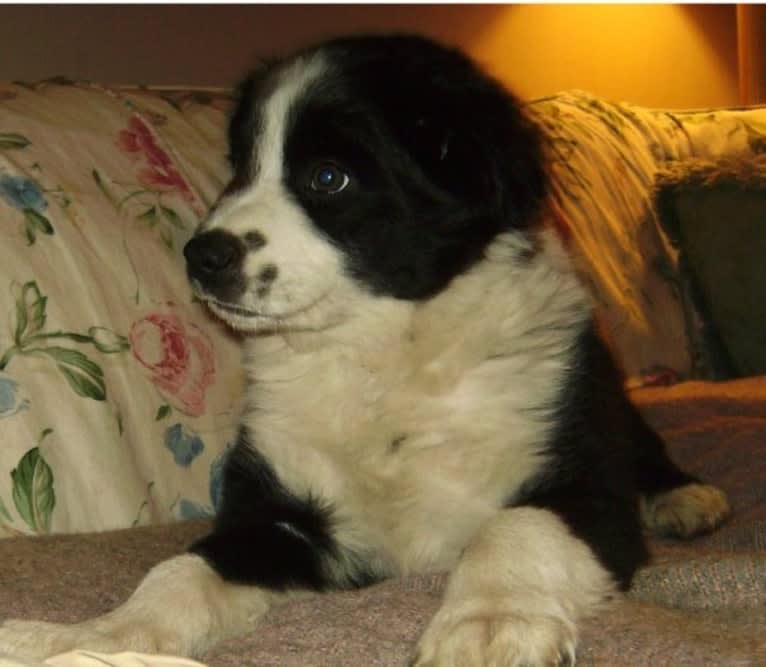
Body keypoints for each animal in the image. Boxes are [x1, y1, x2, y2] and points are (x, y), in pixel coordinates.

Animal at [0, 36, 732, 667]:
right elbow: (182, 568)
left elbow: (515, 525)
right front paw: (92, 635)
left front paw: (488, 625)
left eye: (329, 177)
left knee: (639, 446)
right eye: (241, 168)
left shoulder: (583, 484)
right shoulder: (280, 512)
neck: (381, 353)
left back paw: (686, 498)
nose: (202, 257)